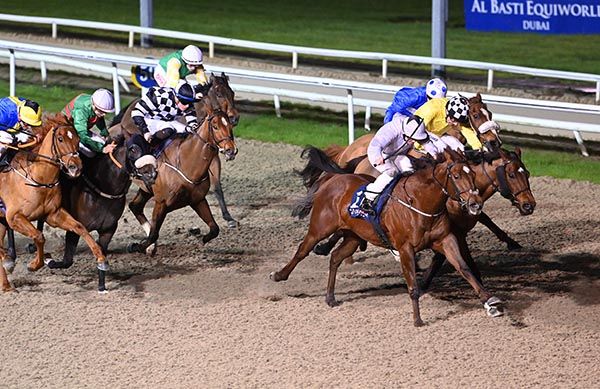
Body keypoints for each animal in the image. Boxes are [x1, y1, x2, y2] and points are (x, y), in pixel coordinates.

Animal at [0, 113, 106, 290]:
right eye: (60, 139)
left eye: (77, 139)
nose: (76, 167)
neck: (38, 178)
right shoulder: (14, 217)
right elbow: (39, 236)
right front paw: (35, 264)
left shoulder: (53, 214)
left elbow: (80, 227)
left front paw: (100, 257)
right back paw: (8, 262)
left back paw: (6, 285)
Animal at [126, 109, 237, 255]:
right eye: (215, 126)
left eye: (230, 124)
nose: (231, 150)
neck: (185, 163)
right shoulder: (161, 202)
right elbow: (153, 234)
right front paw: (137, 246)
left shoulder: (198, 200)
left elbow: (214, 228)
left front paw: (202, 239)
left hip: (146, 189)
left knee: (135, 206)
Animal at [270, 147, 502, 326]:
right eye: (456, 176)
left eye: (473, 175)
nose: (475, 203)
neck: (420, 202)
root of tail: (334, 179)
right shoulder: (405, 248)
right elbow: (412, 285)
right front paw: (417, 319)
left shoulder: (445, 240)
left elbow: (465, 268)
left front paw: (490, 302)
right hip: (320, 228)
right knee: (302, 250)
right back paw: (279, 275)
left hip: (354, 236)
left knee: (335, 257)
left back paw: (330, 297)